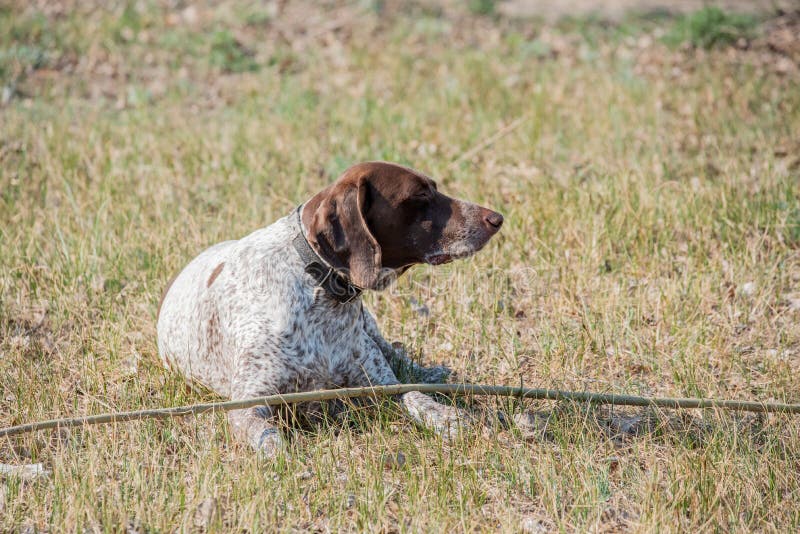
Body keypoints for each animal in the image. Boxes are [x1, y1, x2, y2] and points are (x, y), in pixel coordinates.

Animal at [157, 161, 504, 454]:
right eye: (420, 194)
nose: (496, 218)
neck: (320, 292)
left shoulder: (382, 384)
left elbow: (416, 396)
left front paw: (448, 418)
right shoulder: (249, 405)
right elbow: (271, 442)